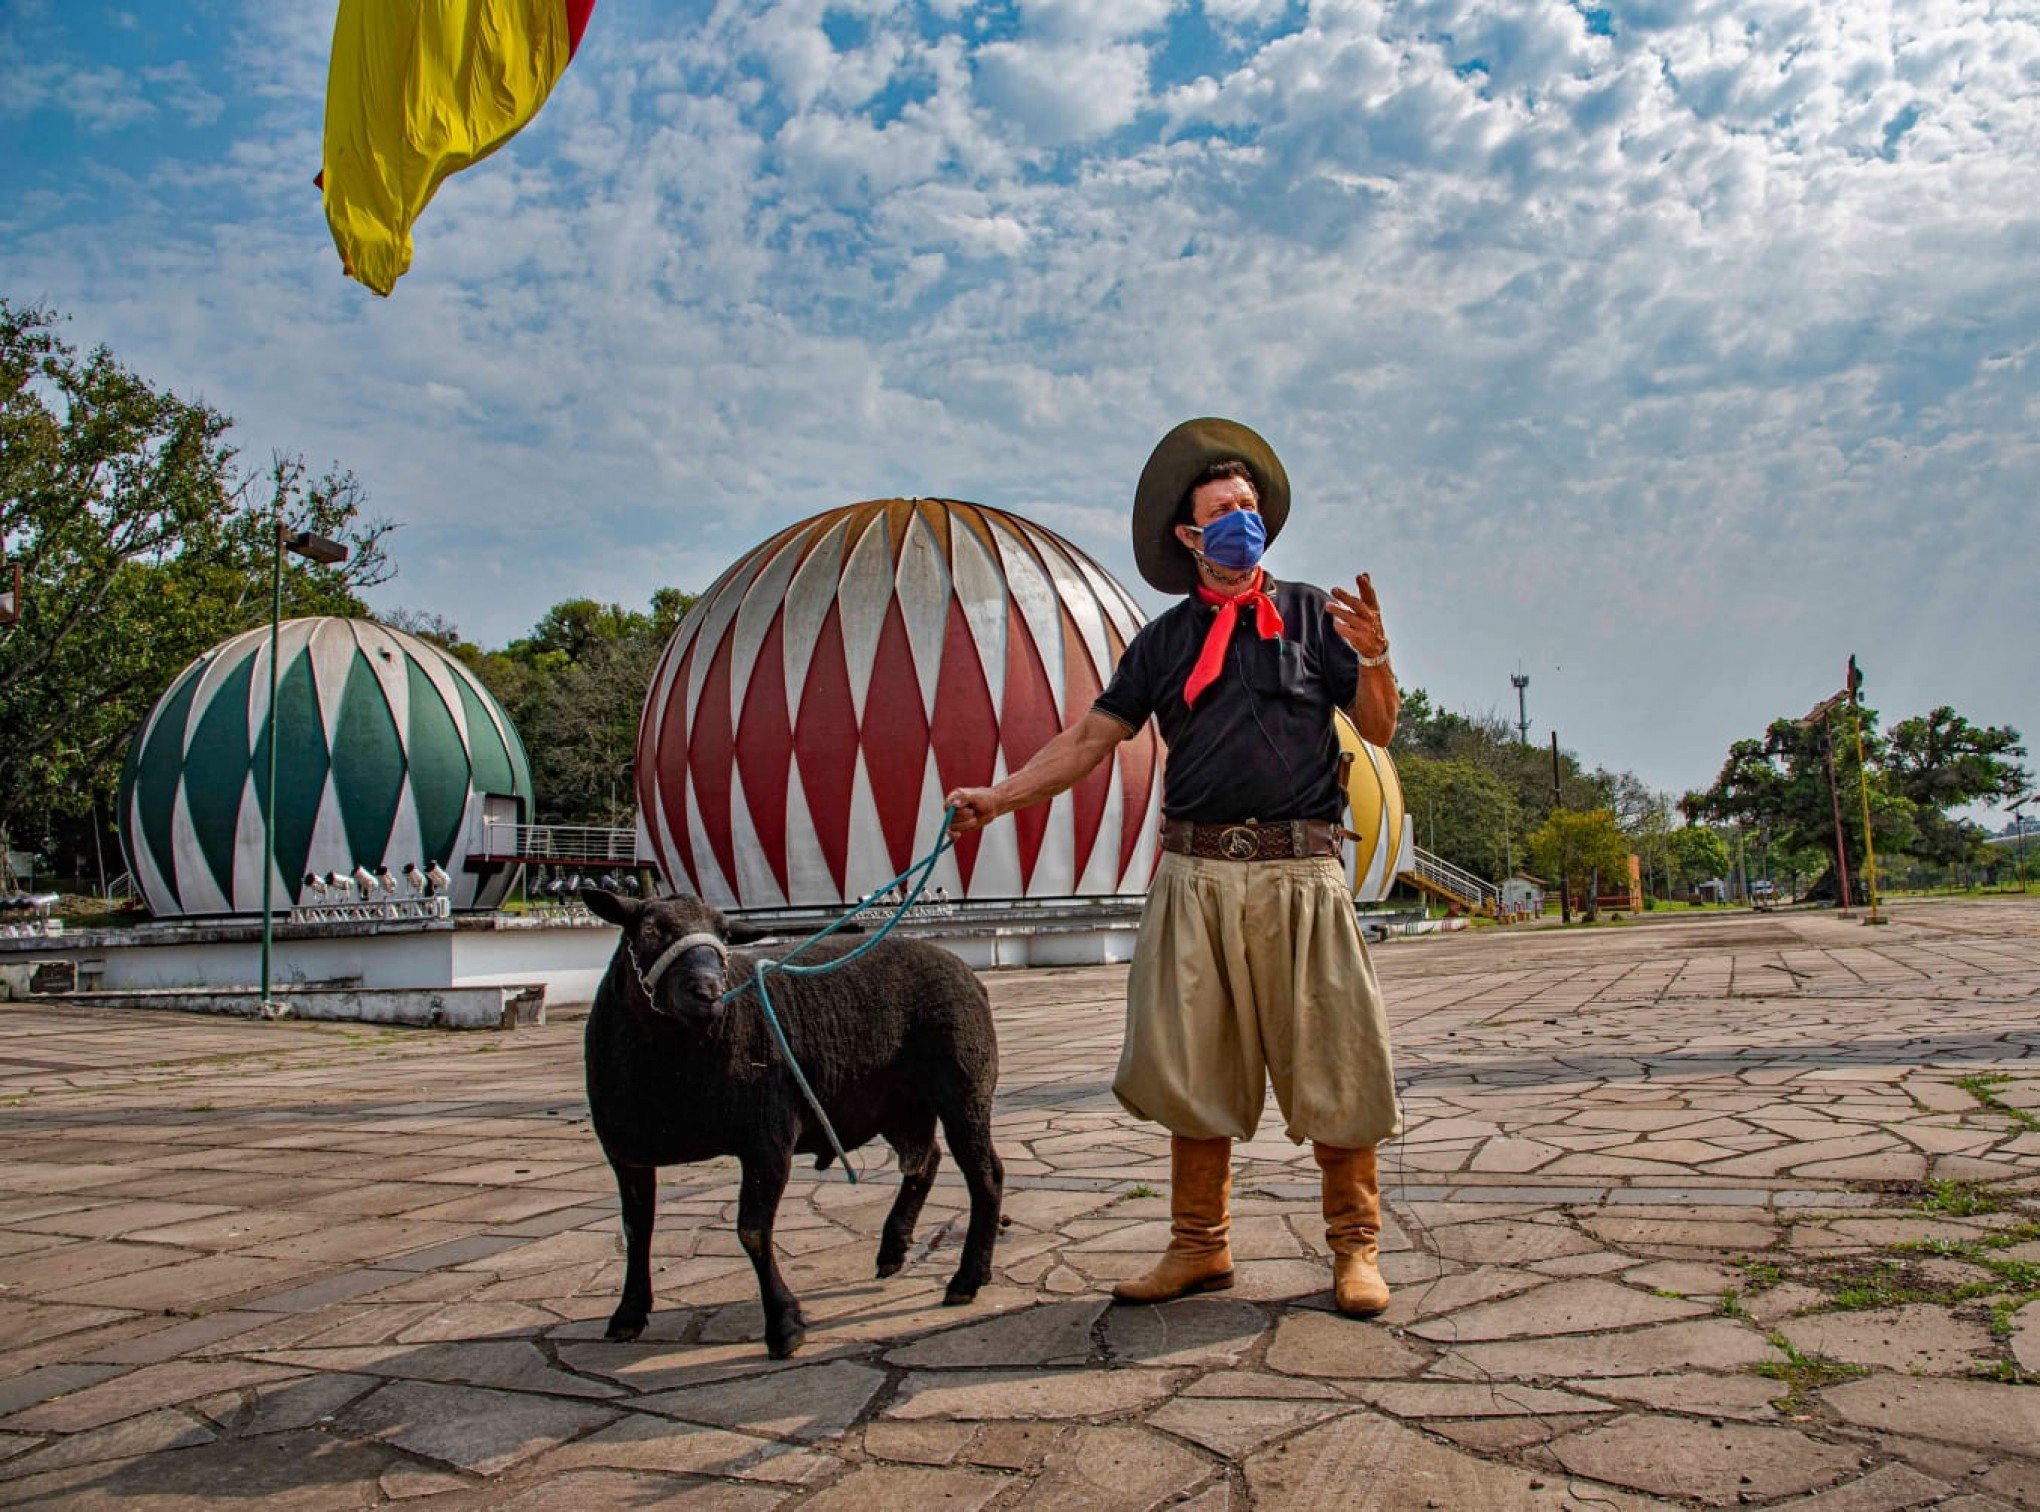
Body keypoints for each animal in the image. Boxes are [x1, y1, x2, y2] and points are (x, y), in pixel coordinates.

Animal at [579, 885, 999, 1354]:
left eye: (723, 934)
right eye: (650, 929)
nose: (708, 992)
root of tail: (966, 972)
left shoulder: (768, 1136)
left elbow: (752, 1231)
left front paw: (783, 1325)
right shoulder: (625, 1154)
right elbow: (636, 1230)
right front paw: (628, 1315)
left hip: (964, 1088)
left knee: (984, 1174)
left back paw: (966, 1278)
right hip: (898, 1104)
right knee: (926, 1161)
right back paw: (894, 1249)